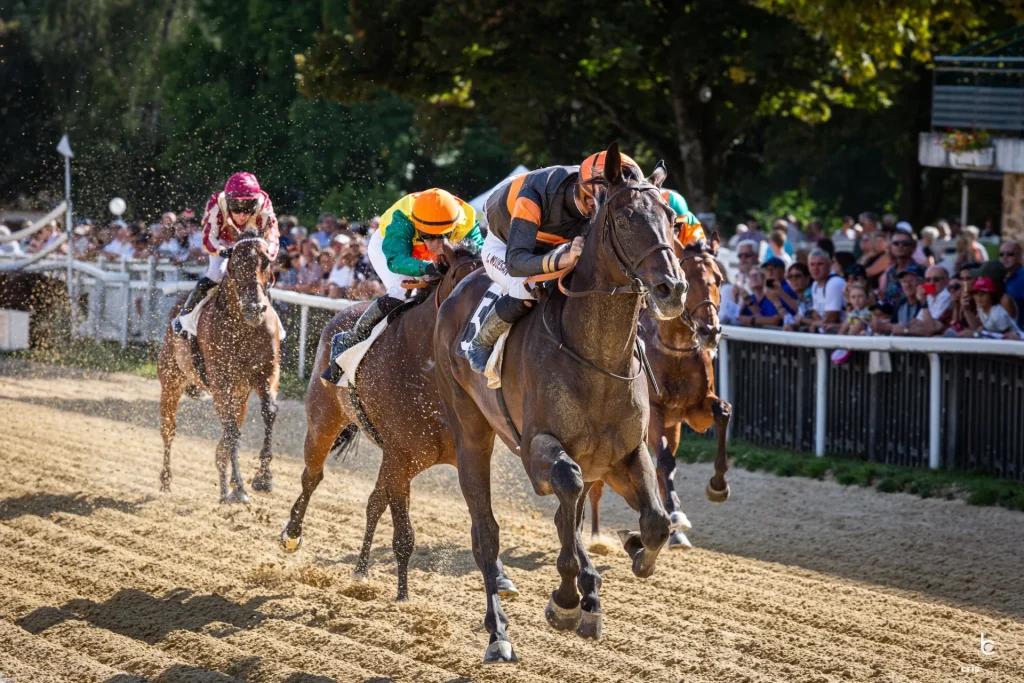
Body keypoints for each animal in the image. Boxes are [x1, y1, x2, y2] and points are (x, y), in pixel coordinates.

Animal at [155, 232, 278, 505]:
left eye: (266, 262)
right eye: (234, 265)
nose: (254, 308)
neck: (242, 327)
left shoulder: (266, 373)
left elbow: (268, 412)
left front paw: (263, 478)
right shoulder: (221, 382)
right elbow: (231, 432)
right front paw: (240, 488)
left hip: (240, 395)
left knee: (230, 431)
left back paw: (225, 487)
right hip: (171, 380)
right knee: (169, 429)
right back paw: (166, 480)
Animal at [280, 242, 520, 602]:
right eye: (459, 278)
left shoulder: (450, 452)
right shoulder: (401, 458)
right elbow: (404, 534)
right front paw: (403, 597)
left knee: (372, 502)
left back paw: (361, 570)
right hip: (323, 422)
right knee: (312, 476)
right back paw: (292, 534)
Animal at [432, 143, 688, 663]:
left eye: (671, 218)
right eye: (626, 217)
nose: (672, 288)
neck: (597, 358)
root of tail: (455, 291)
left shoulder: (625, 453)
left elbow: (654, 521)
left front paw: (632, 550)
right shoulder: (536, 449)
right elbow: (566, 489)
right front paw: (566, 600)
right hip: (471, 431)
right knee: (486, 530)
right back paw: (499, 633)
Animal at [589, 232, 733, 548]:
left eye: (719, 279)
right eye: (689, 280)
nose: (710, 331)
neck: (675, 350)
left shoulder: (694, 410)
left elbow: (723, 412)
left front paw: (718, 485)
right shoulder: (654, 411)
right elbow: (665, 461)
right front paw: (676, 515)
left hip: (673, 427)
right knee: (596, 484)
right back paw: (594, 537)